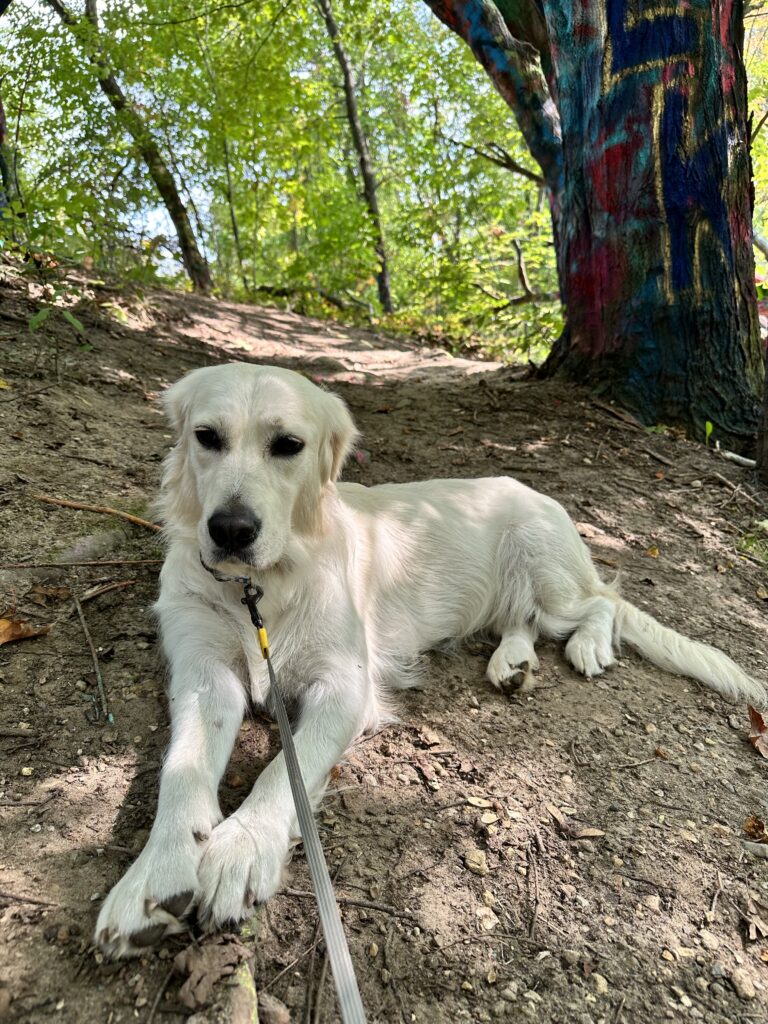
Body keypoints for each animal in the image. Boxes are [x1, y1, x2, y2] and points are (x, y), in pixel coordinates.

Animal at [95, 362, 765, 957]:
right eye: (207, 436)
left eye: (288, 445)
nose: (231, 530)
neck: (259, 590)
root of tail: (533, 490)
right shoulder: (204, 678)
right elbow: (182, 770)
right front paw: (156, 873)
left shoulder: (345, 686)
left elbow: (283, 769)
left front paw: (241, 848)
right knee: (523, 621)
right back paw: (512, 664)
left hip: (546, 567)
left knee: (600, 604)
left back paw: (588, 646)